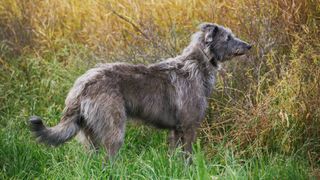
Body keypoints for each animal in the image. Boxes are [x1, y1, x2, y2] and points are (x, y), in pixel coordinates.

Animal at [28, 22, 251, 159]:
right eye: (228, 37)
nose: (249, 46)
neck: (197, 63)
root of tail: (81, 85)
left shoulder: (175, 130)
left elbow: (175, 157)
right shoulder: (188, 126)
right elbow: (187, 156)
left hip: (89, 135)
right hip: (114, 128)